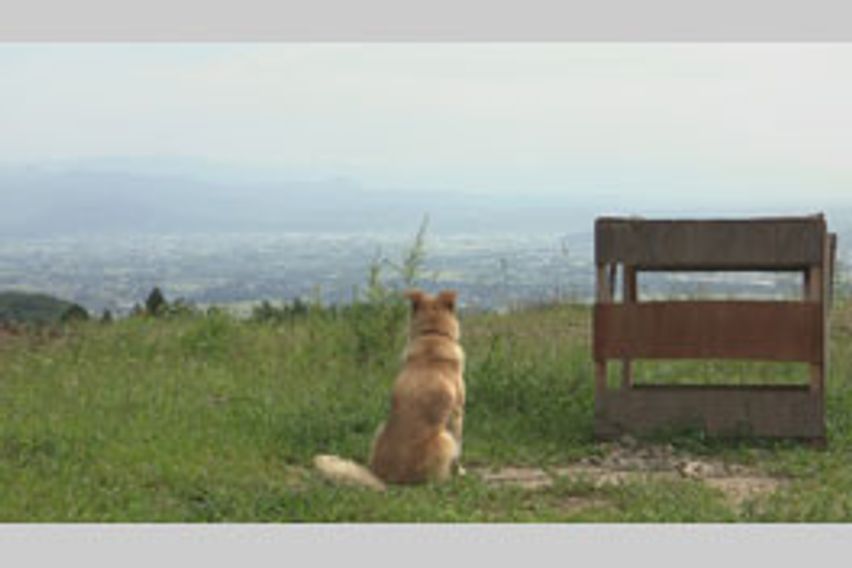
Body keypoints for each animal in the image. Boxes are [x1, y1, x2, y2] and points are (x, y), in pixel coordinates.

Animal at [314, 290, 466, 490]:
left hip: (380, 428)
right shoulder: (457, 413)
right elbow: (459, 446)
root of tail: (385, 479)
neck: (432, 336)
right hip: (444, 439)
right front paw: (460, 471)